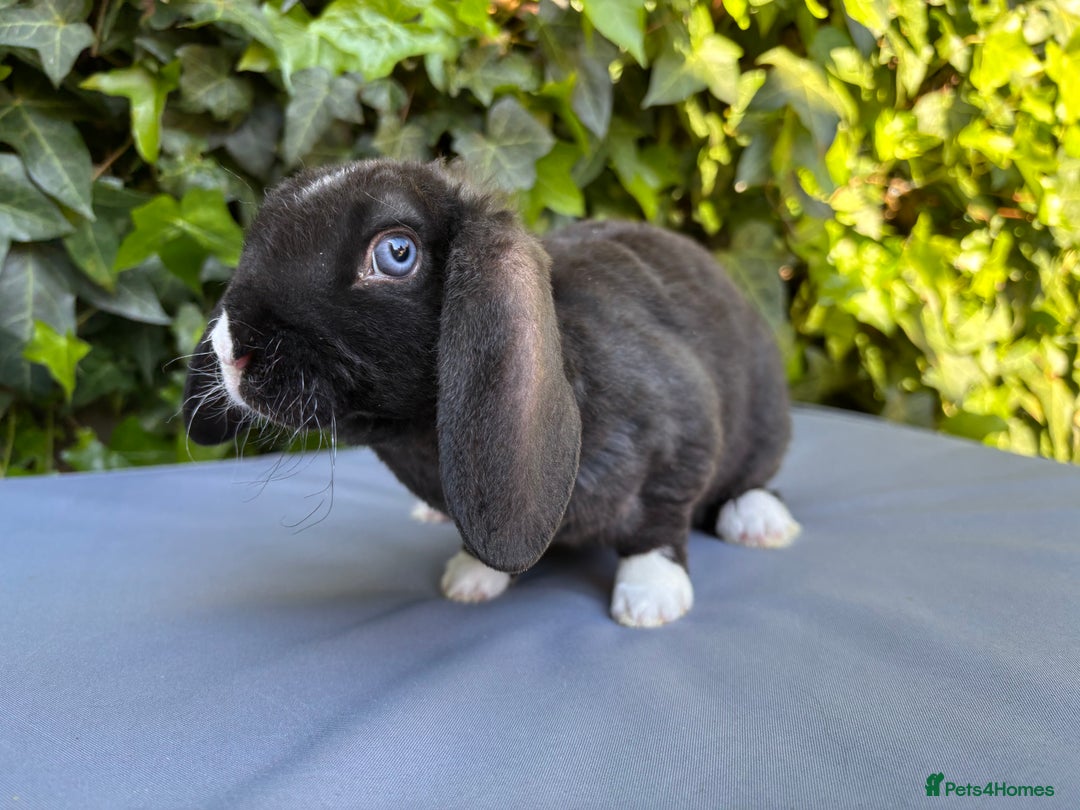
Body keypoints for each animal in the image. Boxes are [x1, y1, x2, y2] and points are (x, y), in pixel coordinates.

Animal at [183, 158, 800, 628]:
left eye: (397, 253)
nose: (231, 348)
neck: (421, 438)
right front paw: (471, 578)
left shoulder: (683, 435)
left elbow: (660, 518)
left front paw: (651, 597)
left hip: (764, 423)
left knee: (751, 478)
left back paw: (759, 523)